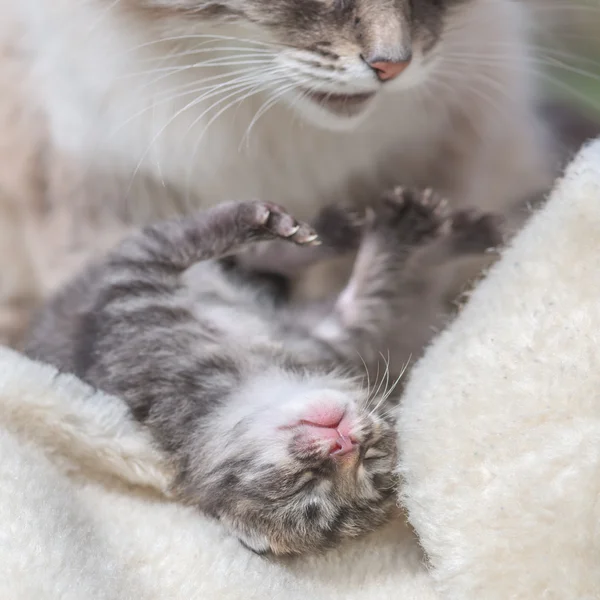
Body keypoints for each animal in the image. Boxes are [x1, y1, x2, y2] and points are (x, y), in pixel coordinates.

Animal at [24, 190, 502, 556]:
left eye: (370, 460)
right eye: (306, 485)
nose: (344, 443)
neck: (254, 371)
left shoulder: (318, 338)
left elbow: (371, 296)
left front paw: (395, 235)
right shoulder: (134, 289)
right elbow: (183, 238)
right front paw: (255, 221)